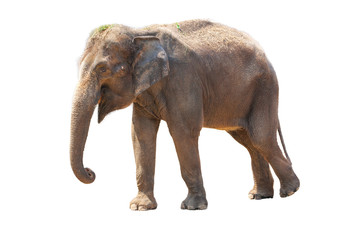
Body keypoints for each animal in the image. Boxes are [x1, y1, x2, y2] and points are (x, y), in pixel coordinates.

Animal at [69, 19, 298, 211]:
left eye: (102, 68)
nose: (91, 171)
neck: (140, 32)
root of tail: (264, 53)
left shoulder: (183, 79)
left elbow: (183, 132)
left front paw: (192, 207)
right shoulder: (144, 92)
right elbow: (141, 134)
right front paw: (140, 207)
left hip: (265, 88)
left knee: (261, 137)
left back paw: (290, 191)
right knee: (249, 141)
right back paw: (260, 195)